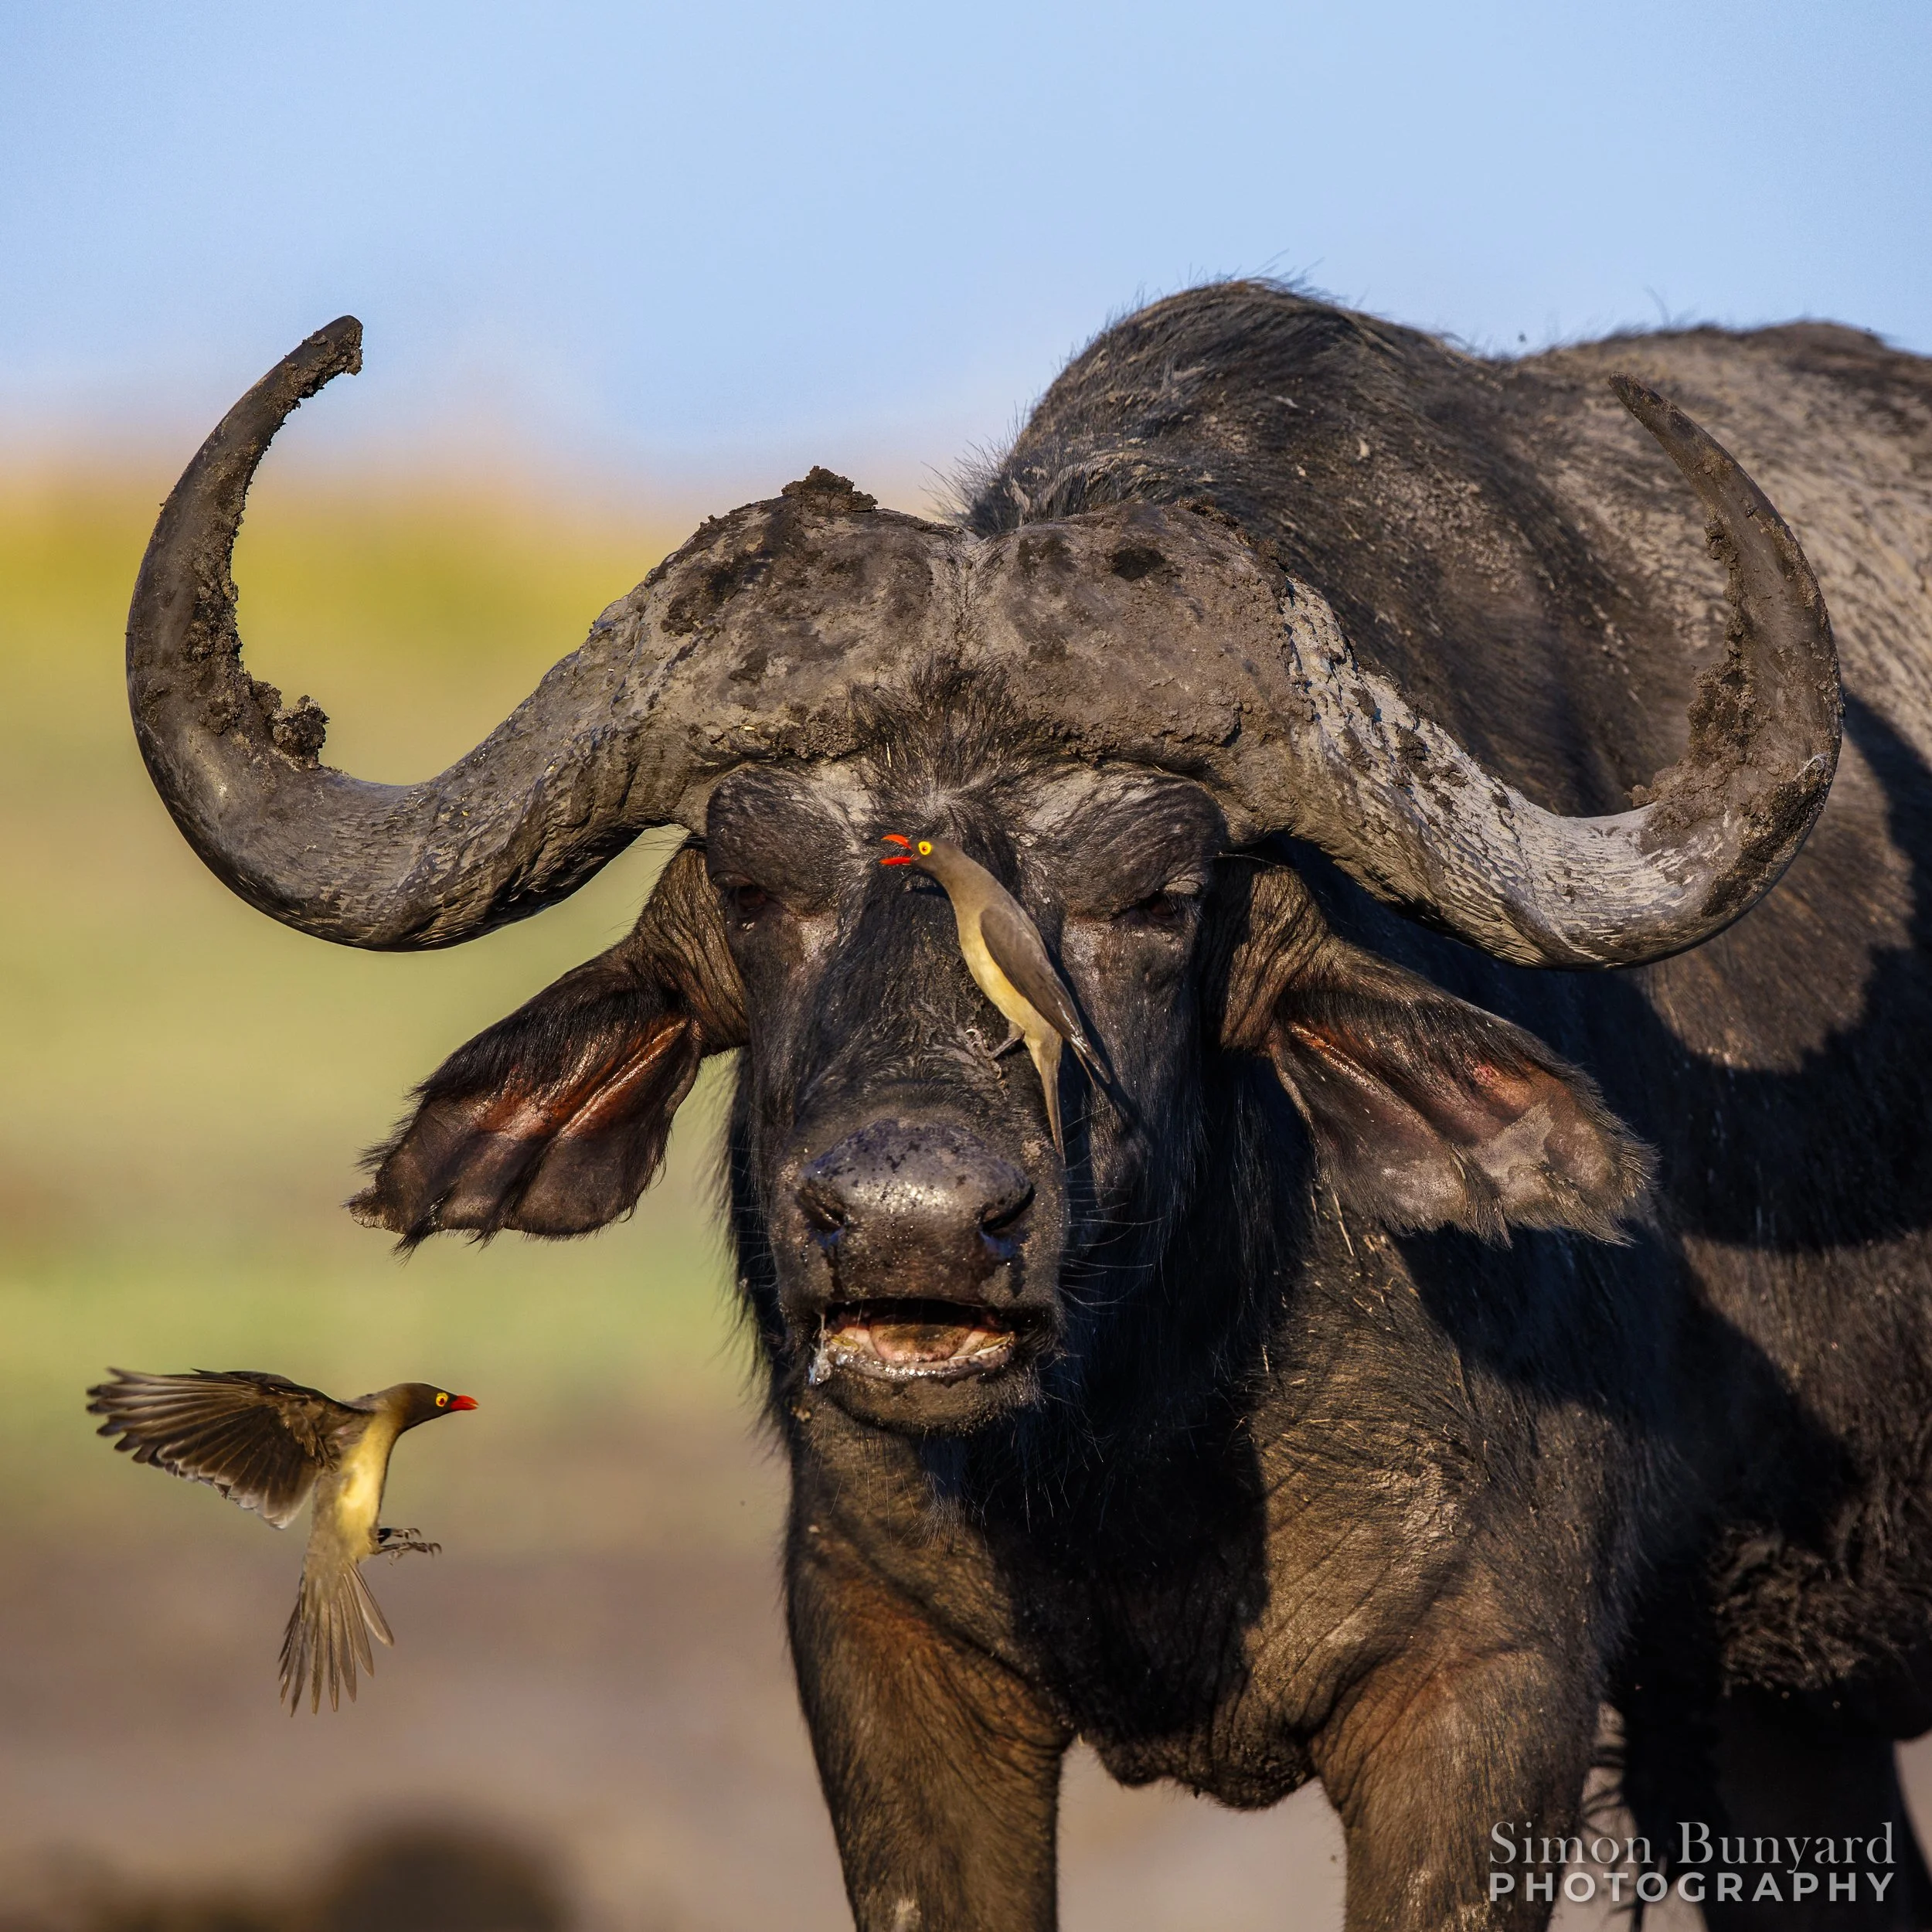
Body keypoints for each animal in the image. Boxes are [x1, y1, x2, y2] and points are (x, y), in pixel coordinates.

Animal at [127, 283, 1932, 1928]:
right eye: (752, 879)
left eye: (1158, 895)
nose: (913, 1223)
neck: (1149, 1429)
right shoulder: (873, 1645)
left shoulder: (1493, 1689)